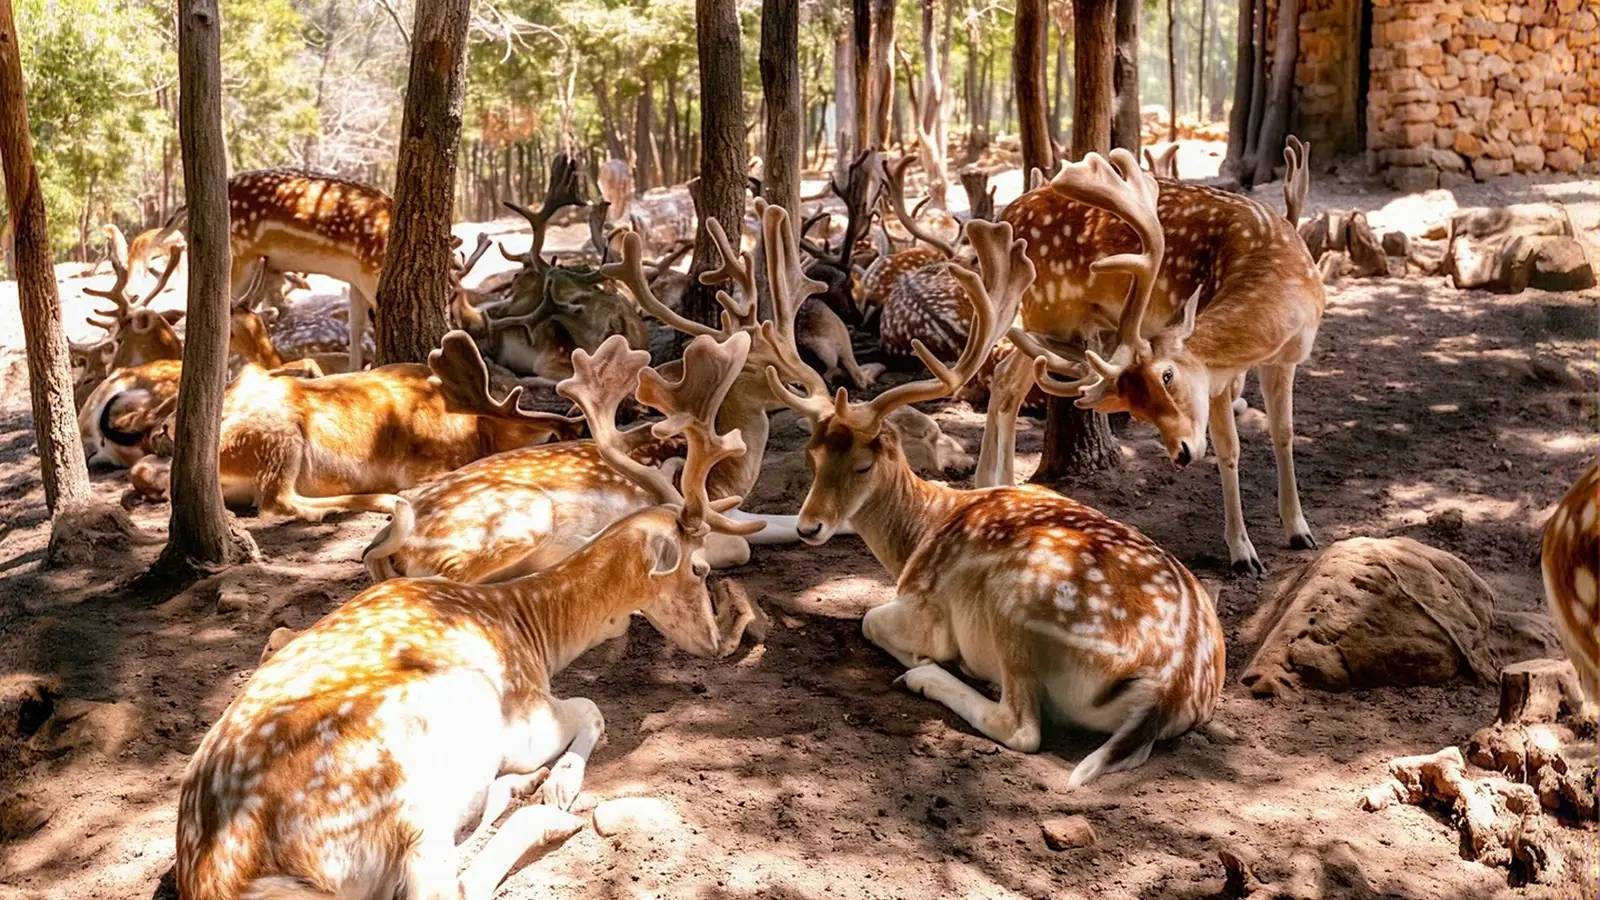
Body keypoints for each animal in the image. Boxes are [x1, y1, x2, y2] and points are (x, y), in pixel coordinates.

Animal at [175, 331, 763, 900]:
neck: (532, 630)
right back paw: (546, 814)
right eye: (699, 568)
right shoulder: (529, 716)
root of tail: (229, 879)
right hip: (413, 806)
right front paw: (560, 784)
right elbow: (593, 707)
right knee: (449, 886)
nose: (715, 644)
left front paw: (535, 783)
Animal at [764, 214, 1225, 785]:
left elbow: (870, 618)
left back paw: (931, 677)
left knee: (1023, 728)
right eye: (812, 454)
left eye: (864, 463)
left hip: (1018, 607)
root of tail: (1173, 686)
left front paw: (925, 659)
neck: (921, 533)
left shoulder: (927, 606)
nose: (809, 527)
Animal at [989, 143, 1324, 577]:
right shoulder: (1219, 378)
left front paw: (1300, 531)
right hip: (1046, 309)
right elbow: (1229, 449)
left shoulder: (1284, 360)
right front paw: (1243, 554)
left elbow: (1283, 433)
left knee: (1005, 378)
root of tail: (1008, 214)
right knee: (1005, 380)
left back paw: (996, 489)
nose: (1181, 452)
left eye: (1167, 376)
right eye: (1140, 404)